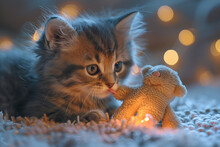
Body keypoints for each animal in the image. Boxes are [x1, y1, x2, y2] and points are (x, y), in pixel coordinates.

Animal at [0, 10, 146, 122]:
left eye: (118, 66)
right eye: (92, 69)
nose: (111, 84)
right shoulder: (34, 111)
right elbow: (65, 115)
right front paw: (94, 115)